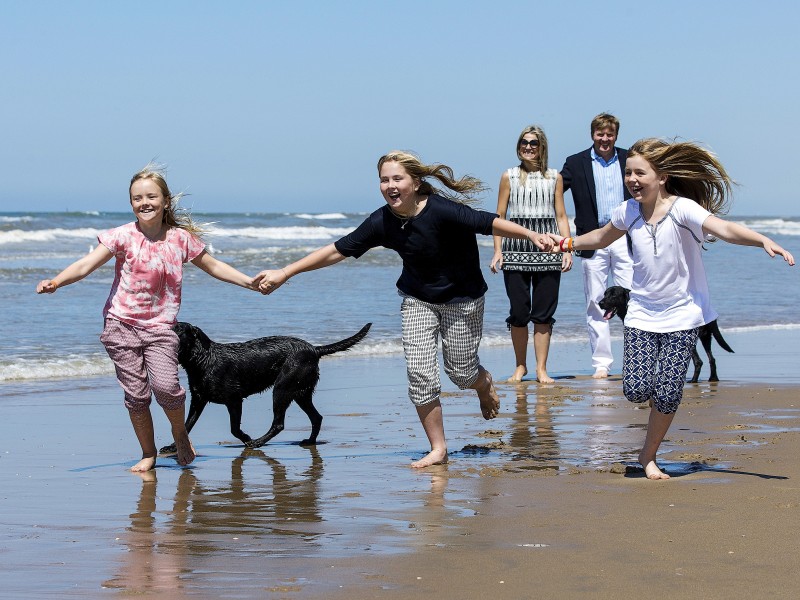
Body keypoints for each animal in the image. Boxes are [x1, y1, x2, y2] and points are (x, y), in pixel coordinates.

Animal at [162, 322, 376, 452]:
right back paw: (309, 441)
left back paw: (257, 442)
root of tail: (314, 349)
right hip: (300, 393)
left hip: (281, 389)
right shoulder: (198, 400)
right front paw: (172, 447)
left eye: (178, 329)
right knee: (316, 417)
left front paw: (247, 438)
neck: (203, 360)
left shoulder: (234, 399)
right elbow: (186, 426)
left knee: (279, 423)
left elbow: (234, 428)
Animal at [596, 288, 736, 384]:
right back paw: (713, 379)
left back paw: (693, 381)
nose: (600, 303)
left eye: (613, 295)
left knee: (699, 361)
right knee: (712, 359)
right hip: (706, 337)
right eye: (604, 294)